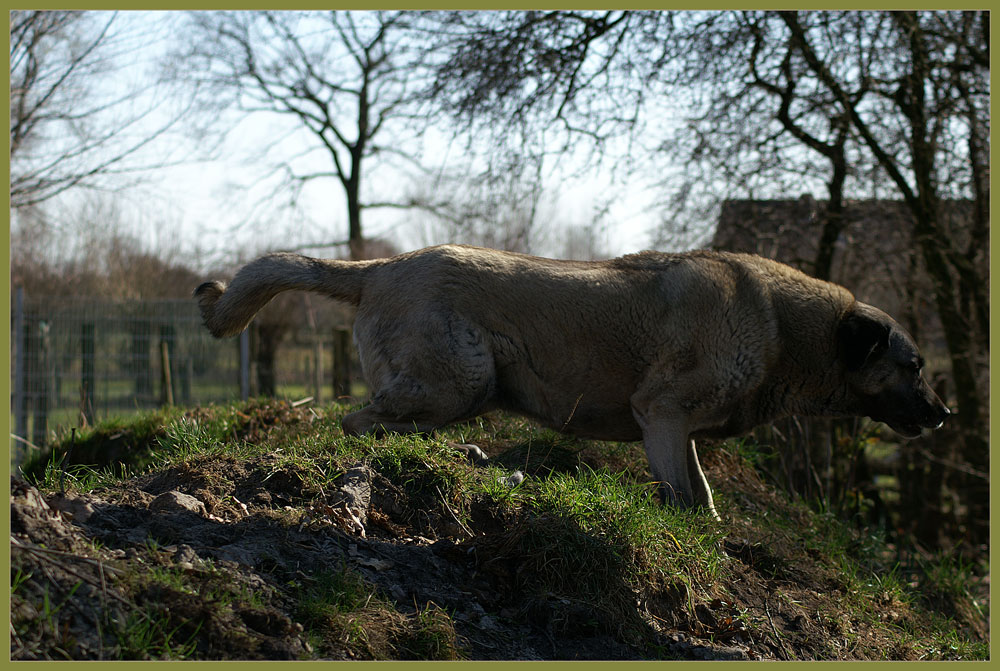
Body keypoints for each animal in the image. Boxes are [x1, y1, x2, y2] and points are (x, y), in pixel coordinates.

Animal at [193, 247, 944, 520]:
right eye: (913, 367)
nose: (942, 414)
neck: (785, 327)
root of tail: (382, 265)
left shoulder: (677, 428)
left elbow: (701, 491)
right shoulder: (661, 413)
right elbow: (686, 496)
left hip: (459, 389)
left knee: (389, 422)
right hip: (461, 379)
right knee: (356, 421)